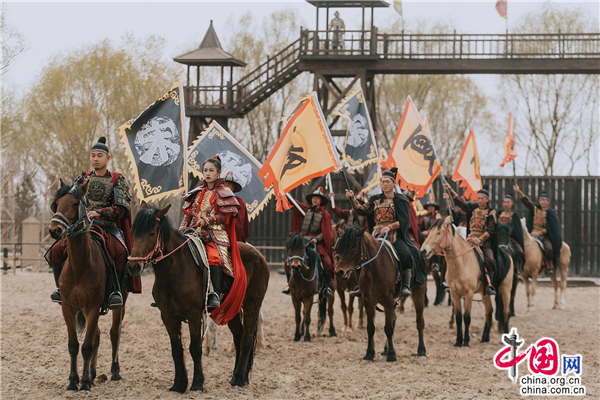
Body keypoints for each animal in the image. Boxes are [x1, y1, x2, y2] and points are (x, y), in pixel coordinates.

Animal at [48, 180, 127, 391]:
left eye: (75, 204)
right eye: (56, 205)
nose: (54, 230)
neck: (80, 265)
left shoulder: (93, 306)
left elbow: (87, 346)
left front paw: (83, 383)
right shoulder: (68, 308)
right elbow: (74, 345)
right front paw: (73, 381)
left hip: (119, 305)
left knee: (114, 333)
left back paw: (114, 371)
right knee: (97, 335)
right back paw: (92, 373)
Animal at [127, 204, 270, 392]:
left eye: (151, 233)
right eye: (133, 232)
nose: (133, 266)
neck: (175, 270)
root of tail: (259, 255)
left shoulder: (194, 315)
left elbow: (195, 348)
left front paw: (197, 383)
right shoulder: (167, 316)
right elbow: (176, 350)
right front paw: (179, 384)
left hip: (252, 304)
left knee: (246, 338)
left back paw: (238, 378)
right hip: (231, 308)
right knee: (239, 336)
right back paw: (238, 376)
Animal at [335, 226, 426, 361]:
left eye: (352, 246)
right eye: (339, 248)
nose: (339, 272)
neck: (374, 268)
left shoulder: (388, 300)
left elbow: (388, 328)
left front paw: (392, 355)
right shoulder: (368, 301)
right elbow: (370, 328)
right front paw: (369, 353)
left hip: (418, 294)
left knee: (419, 322)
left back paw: (421, 351)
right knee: (393, 320)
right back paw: (385, 350)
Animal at [421, 217, 513, 347]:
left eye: (438, 232)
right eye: (429, 232)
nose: (423, 250)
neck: (461, 262)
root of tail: (506, 253)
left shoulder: (468, 294)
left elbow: (467, 318)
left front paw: (466, 342)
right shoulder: (454, 293)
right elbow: (459, 318)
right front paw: (458, 341)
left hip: (506, 289)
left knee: (506, 312)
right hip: (485, 293)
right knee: (489, 312)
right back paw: (484, 338)